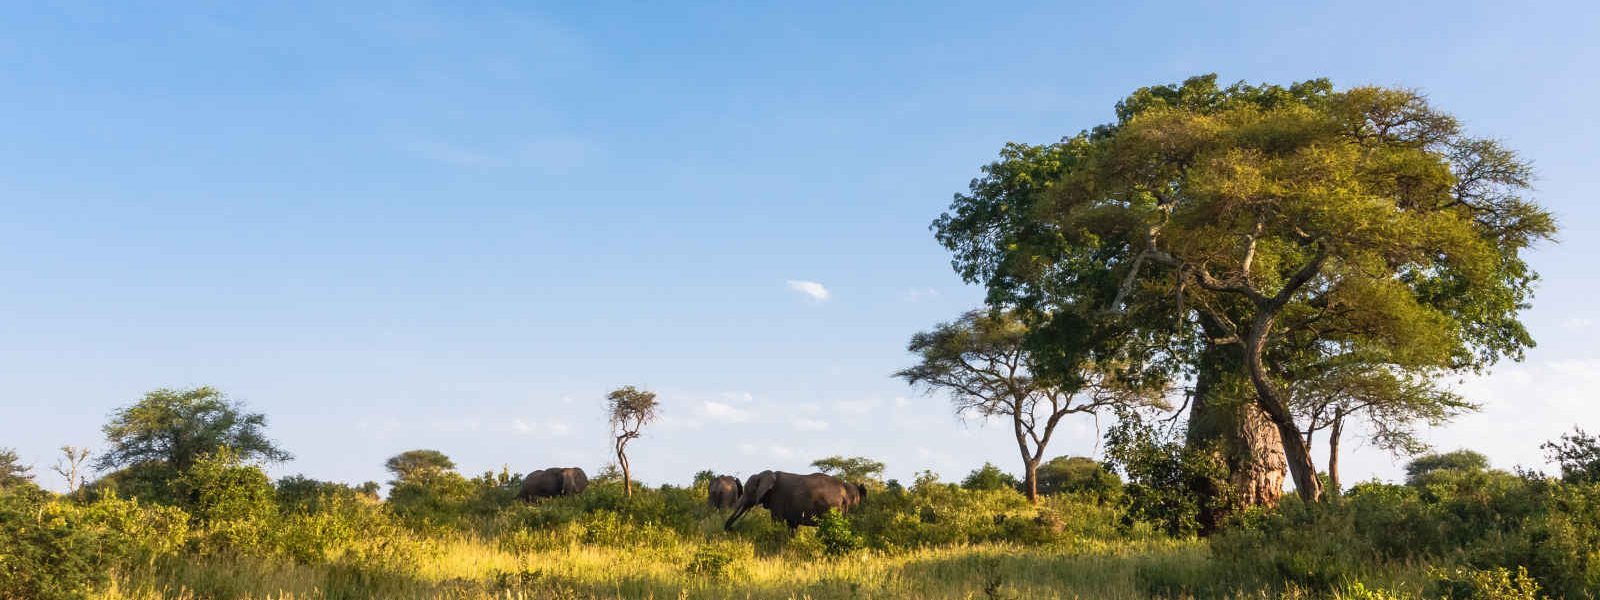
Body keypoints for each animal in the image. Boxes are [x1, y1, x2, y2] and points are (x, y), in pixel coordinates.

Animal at [729, 470, 870, 531]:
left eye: (749, 491)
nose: (729, 529)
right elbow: (792, 525)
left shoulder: (778, 498)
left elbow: (777, 521)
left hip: (834, 508)